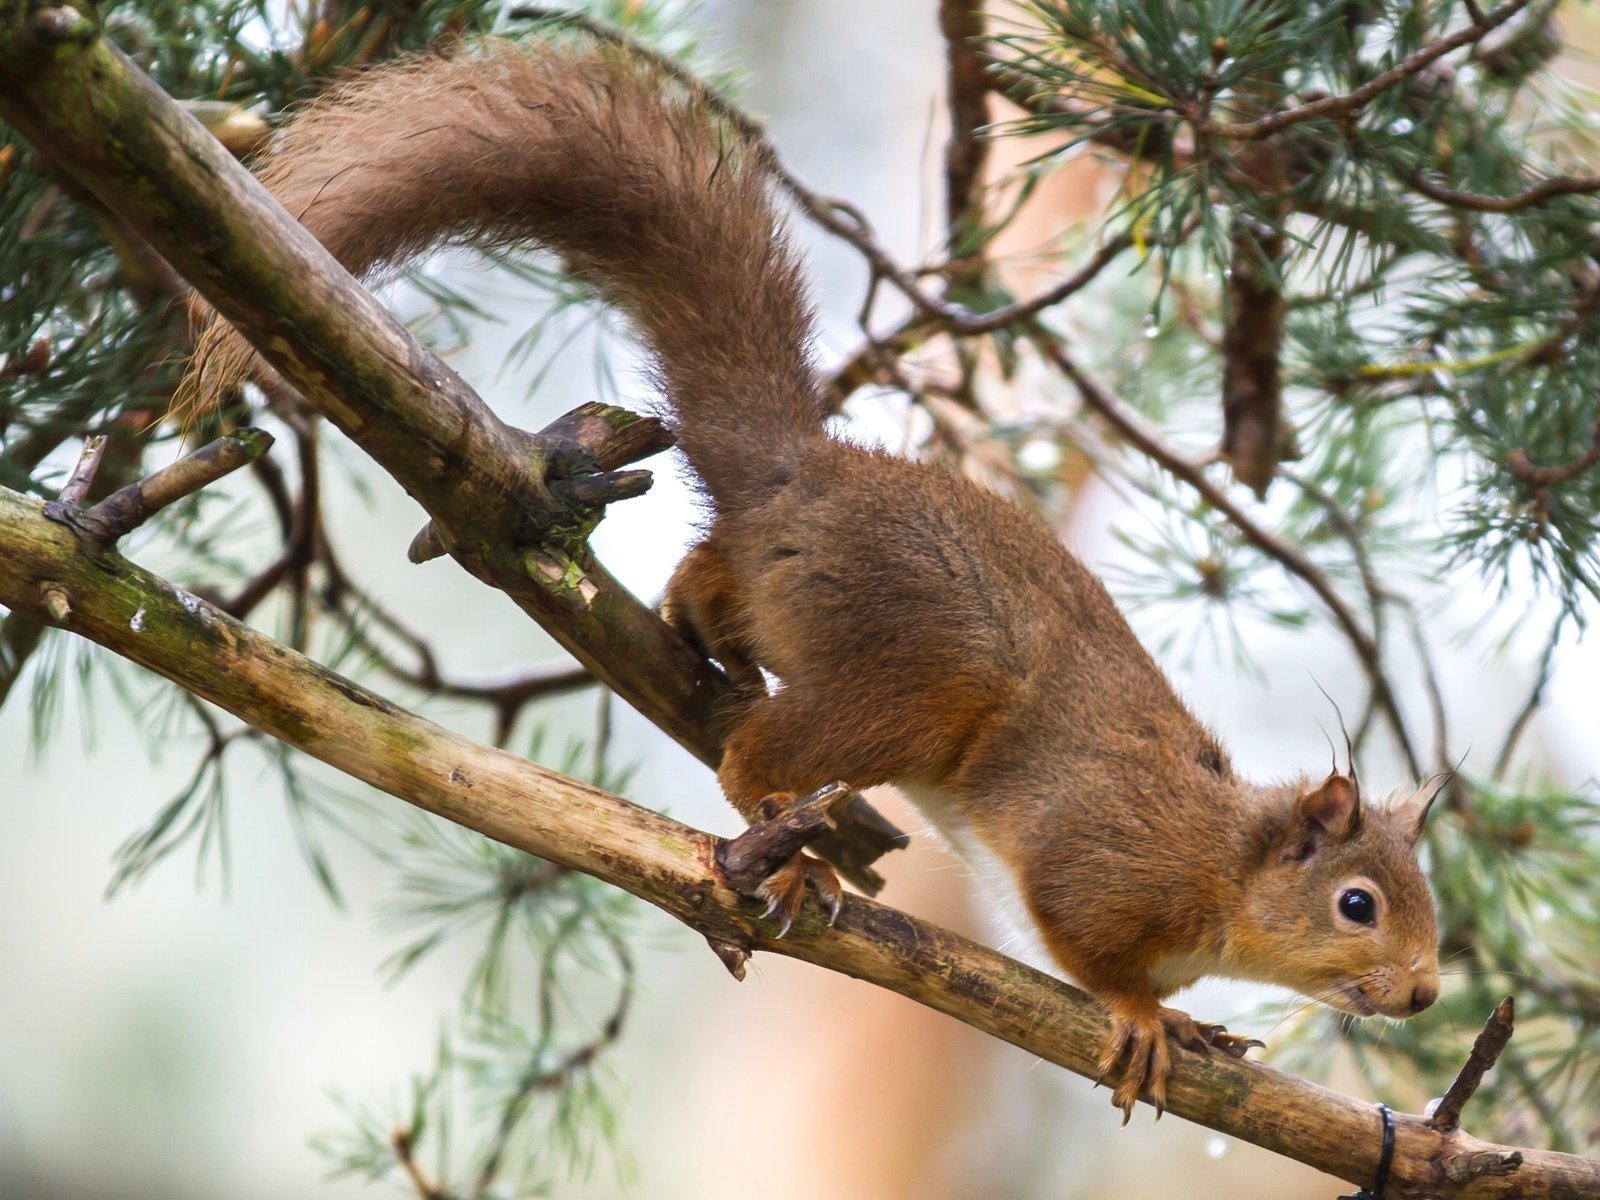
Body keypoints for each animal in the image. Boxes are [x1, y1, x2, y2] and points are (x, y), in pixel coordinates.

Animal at [187, 40, 1452, 1126]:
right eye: (1357, 904)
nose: (1427, 992)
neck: (1219, 863)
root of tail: (803, 471)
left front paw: (1198, 1031)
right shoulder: (1098, 862)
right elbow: (1081, 941)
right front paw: (1146, 1014)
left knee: (710, 580)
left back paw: (703, 634)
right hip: (924, 681)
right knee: (759, 753)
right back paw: (781, 845)